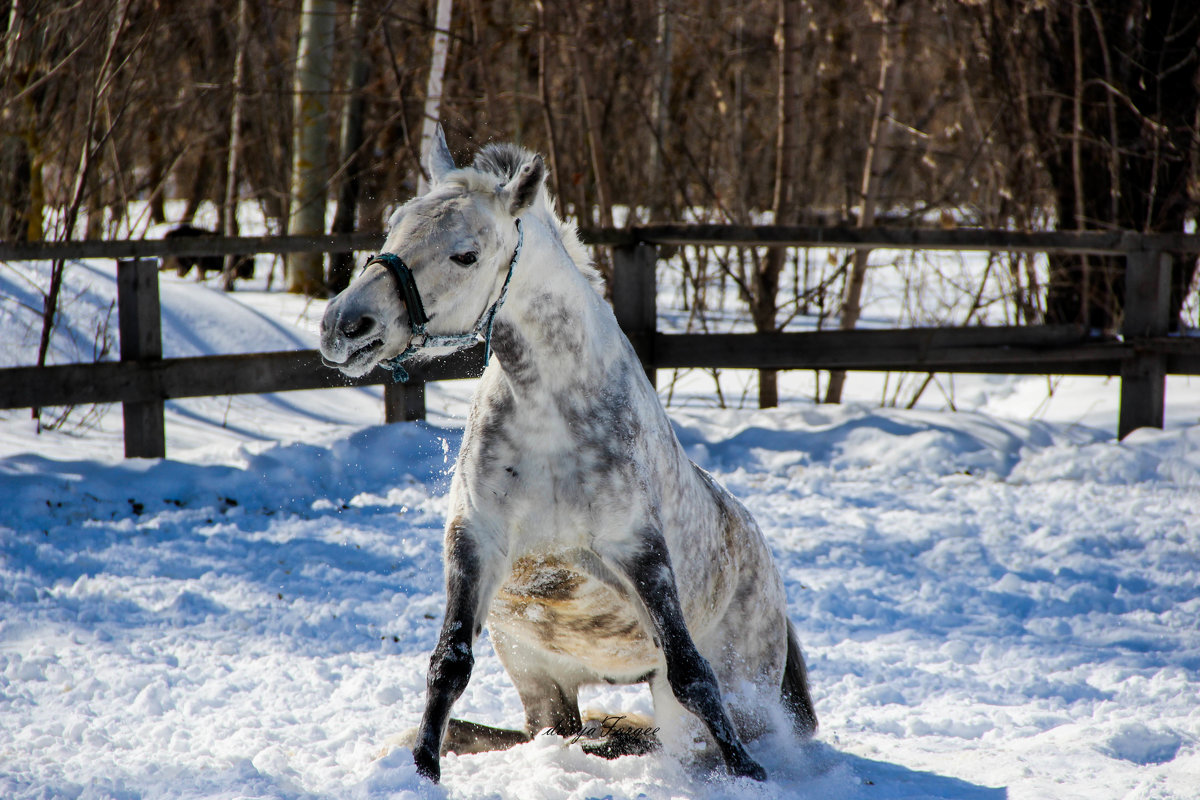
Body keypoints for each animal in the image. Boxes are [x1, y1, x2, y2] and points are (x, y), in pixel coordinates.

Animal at [319, 130, 816, 782]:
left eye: (466, 255)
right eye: (394, 225)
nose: (344, 326)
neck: (549, 412)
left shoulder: (637, 548)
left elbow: (691, 672)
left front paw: (749, 774)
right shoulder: (476, 538)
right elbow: (449, 662)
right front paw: (422, 767)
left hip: (727, 693)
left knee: (687, 723)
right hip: (537, 671)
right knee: (555, 730)